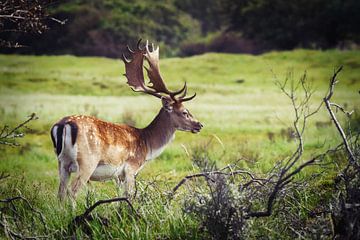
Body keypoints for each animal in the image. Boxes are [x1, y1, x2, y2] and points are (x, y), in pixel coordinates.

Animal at [50, 40, 202, 202]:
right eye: (184, 112)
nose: (199, 125)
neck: (147, 145)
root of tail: (63, 125)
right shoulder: (131, 168)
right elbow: (129, 195)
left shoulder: (118, 176)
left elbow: (120, 197)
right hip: (87, 162)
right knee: (72, 192)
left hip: (62, 163)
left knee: (60, 193)